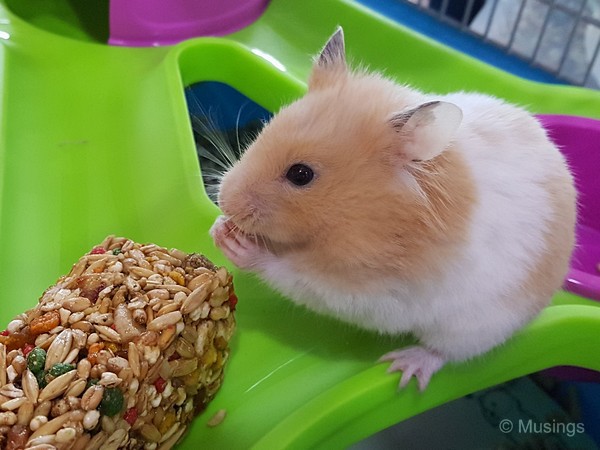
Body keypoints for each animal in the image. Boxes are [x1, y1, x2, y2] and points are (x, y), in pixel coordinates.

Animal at [210, 27, 576, 390]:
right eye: (264, 130)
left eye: (301, 174)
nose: (223, 200)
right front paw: (218, 227)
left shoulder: (371, 293)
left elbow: (293, 274)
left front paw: (237, 243)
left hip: (477, 327)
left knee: (445, 352)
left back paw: (404, 368)